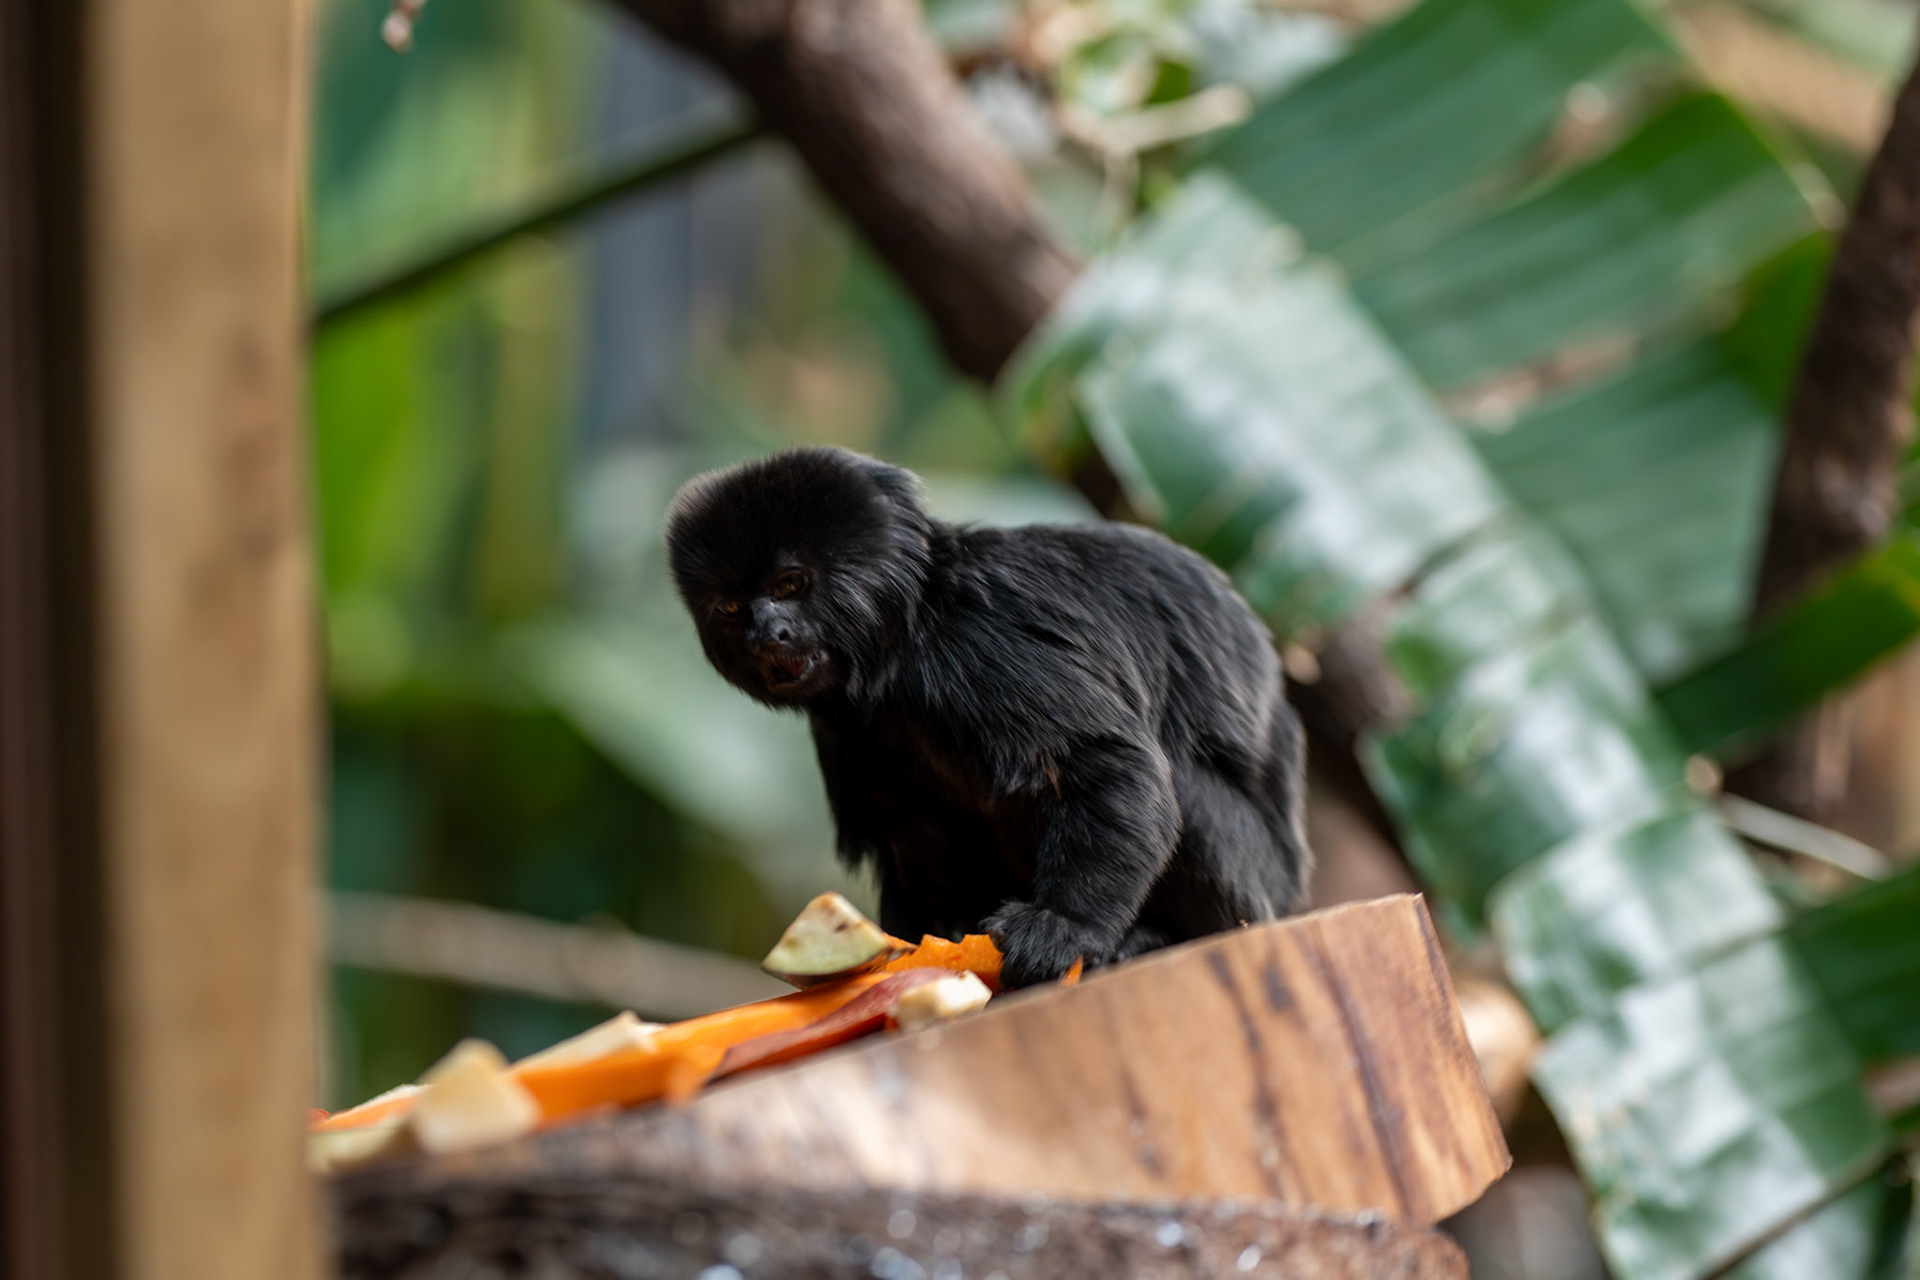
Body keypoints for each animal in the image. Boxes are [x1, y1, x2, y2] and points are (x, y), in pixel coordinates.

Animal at [664, 447, 1311, 987]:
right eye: (731, 609)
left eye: (790, 585)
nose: (765, 635)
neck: (902, 645)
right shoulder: (847, 733)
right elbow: (915, 837)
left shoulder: (980, 641)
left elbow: (1106, 761)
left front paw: (1066, 926)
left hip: (1251, 881)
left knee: (1184, 785)